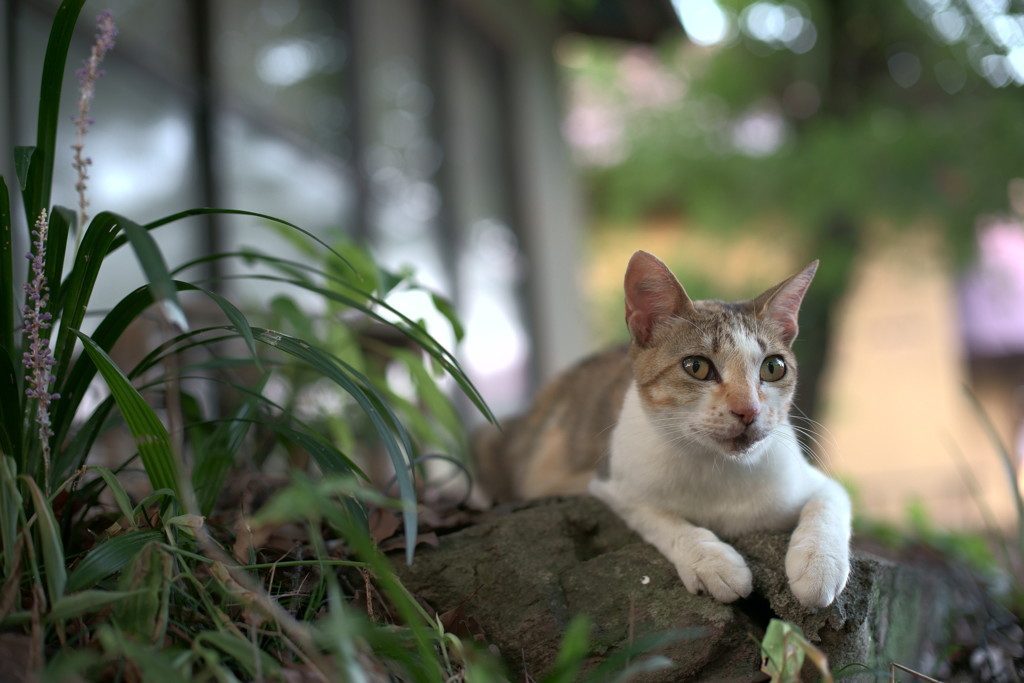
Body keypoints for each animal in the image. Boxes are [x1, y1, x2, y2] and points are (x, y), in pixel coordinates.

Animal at [475, 250, 851, 610]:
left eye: (773, 368)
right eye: (696, 367)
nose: (749, 410)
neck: (720, 471)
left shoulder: (815, 481)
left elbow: (828, 506)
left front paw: (818, 567)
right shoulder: (611, 484)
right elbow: (658, 518)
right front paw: (711, 561)